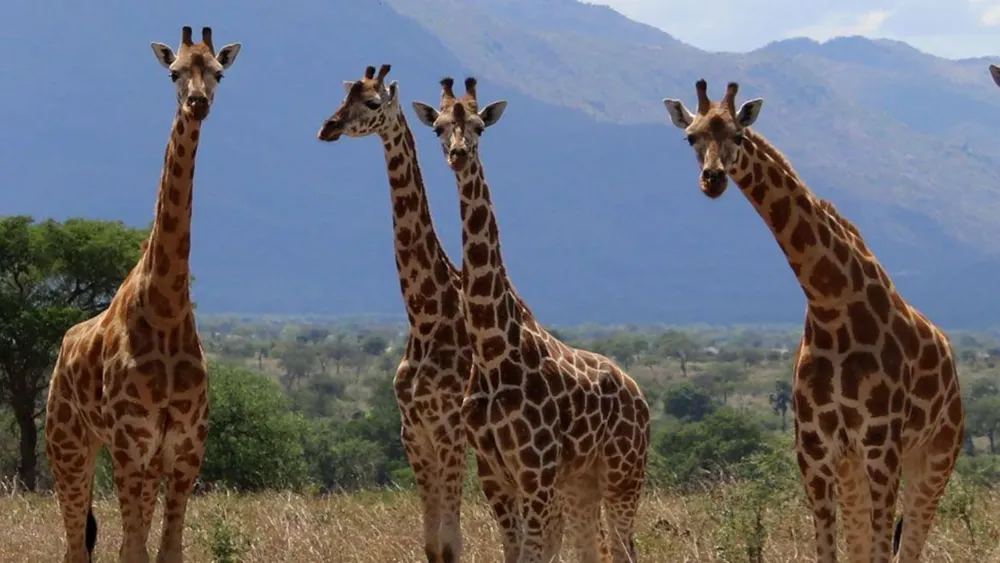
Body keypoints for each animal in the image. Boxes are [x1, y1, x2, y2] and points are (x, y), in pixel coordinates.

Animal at [44, 26, 241, 563]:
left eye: (218, 72)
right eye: (174, 72)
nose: (197, 102)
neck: (167, 307)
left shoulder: (186, 452)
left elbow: (166, 551)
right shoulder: (130, 447)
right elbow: (131, 550)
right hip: (68, 445)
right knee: (76, 546)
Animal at [315, 63, 477, 563]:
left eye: (371, 102)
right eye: (342, 96)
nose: (327, 127)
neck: (424, 315)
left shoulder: (448, 431)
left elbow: (452, 542)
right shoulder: (413, 432)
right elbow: (432, 544)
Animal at [412, 77, 651, 563]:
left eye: (480, 126)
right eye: (439, 127)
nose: (458, 154)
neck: (492, 351)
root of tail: (640, 395)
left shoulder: (535, 472)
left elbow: (534, 553)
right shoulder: (494, 474)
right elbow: (515, 552)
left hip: (623, 472)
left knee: (624, 549)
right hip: (582, 481)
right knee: (594, 549)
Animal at [663, 79, 964, 563]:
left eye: (738, 136)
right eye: (691, 137)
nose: (713, 180)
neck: (829, 305)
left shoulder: (881, 443)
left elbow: (883, 549)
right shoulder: (816, 450)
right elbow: (830, 550)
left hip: (937, 454)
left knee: (911, 543)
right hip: (855, 466)